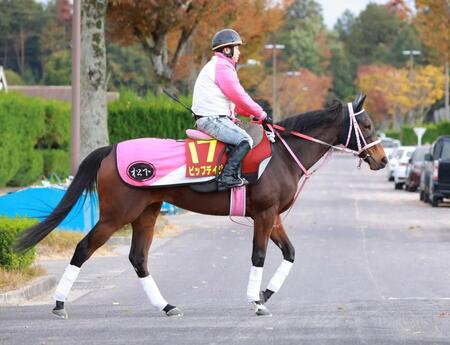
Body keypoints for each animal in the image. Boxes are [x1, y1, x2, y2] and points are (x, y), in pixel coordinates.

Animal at [14, 93, 386, 318]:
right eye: (367, 125)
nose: (382, 159)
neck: (281, 156)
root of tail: (112, 149)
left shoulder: (273, 217)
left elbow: (291, 253)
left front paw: (265, 294)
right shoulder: (264, 215)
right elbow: (259, 256)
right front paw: (256, 301)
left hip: (146, 214)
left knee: (138, 258)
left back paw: (166, 306)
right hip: (116, 214)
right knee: (84, 247)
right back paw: (59, 303)